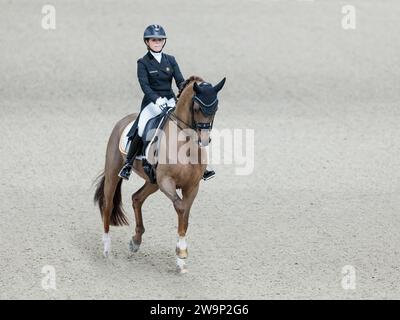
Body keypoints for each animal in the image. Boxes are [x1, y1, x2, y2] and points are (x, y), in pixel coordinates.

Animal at [93, 75, 225, 272]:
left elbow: (185, 216)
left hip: (152, 182)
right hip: (114, 172)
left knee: (136, 198)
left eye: (215, 108)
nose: (204, 140)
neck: (185, 143)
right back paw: (107, 250)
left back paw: (136, 241)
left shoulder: (192, 186)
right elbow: (181, 207)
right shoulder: (166, 182)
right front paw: (182, 251)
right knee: (108, 205)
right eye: (197, 108)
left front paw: (180, 260)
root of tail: (124, 120)